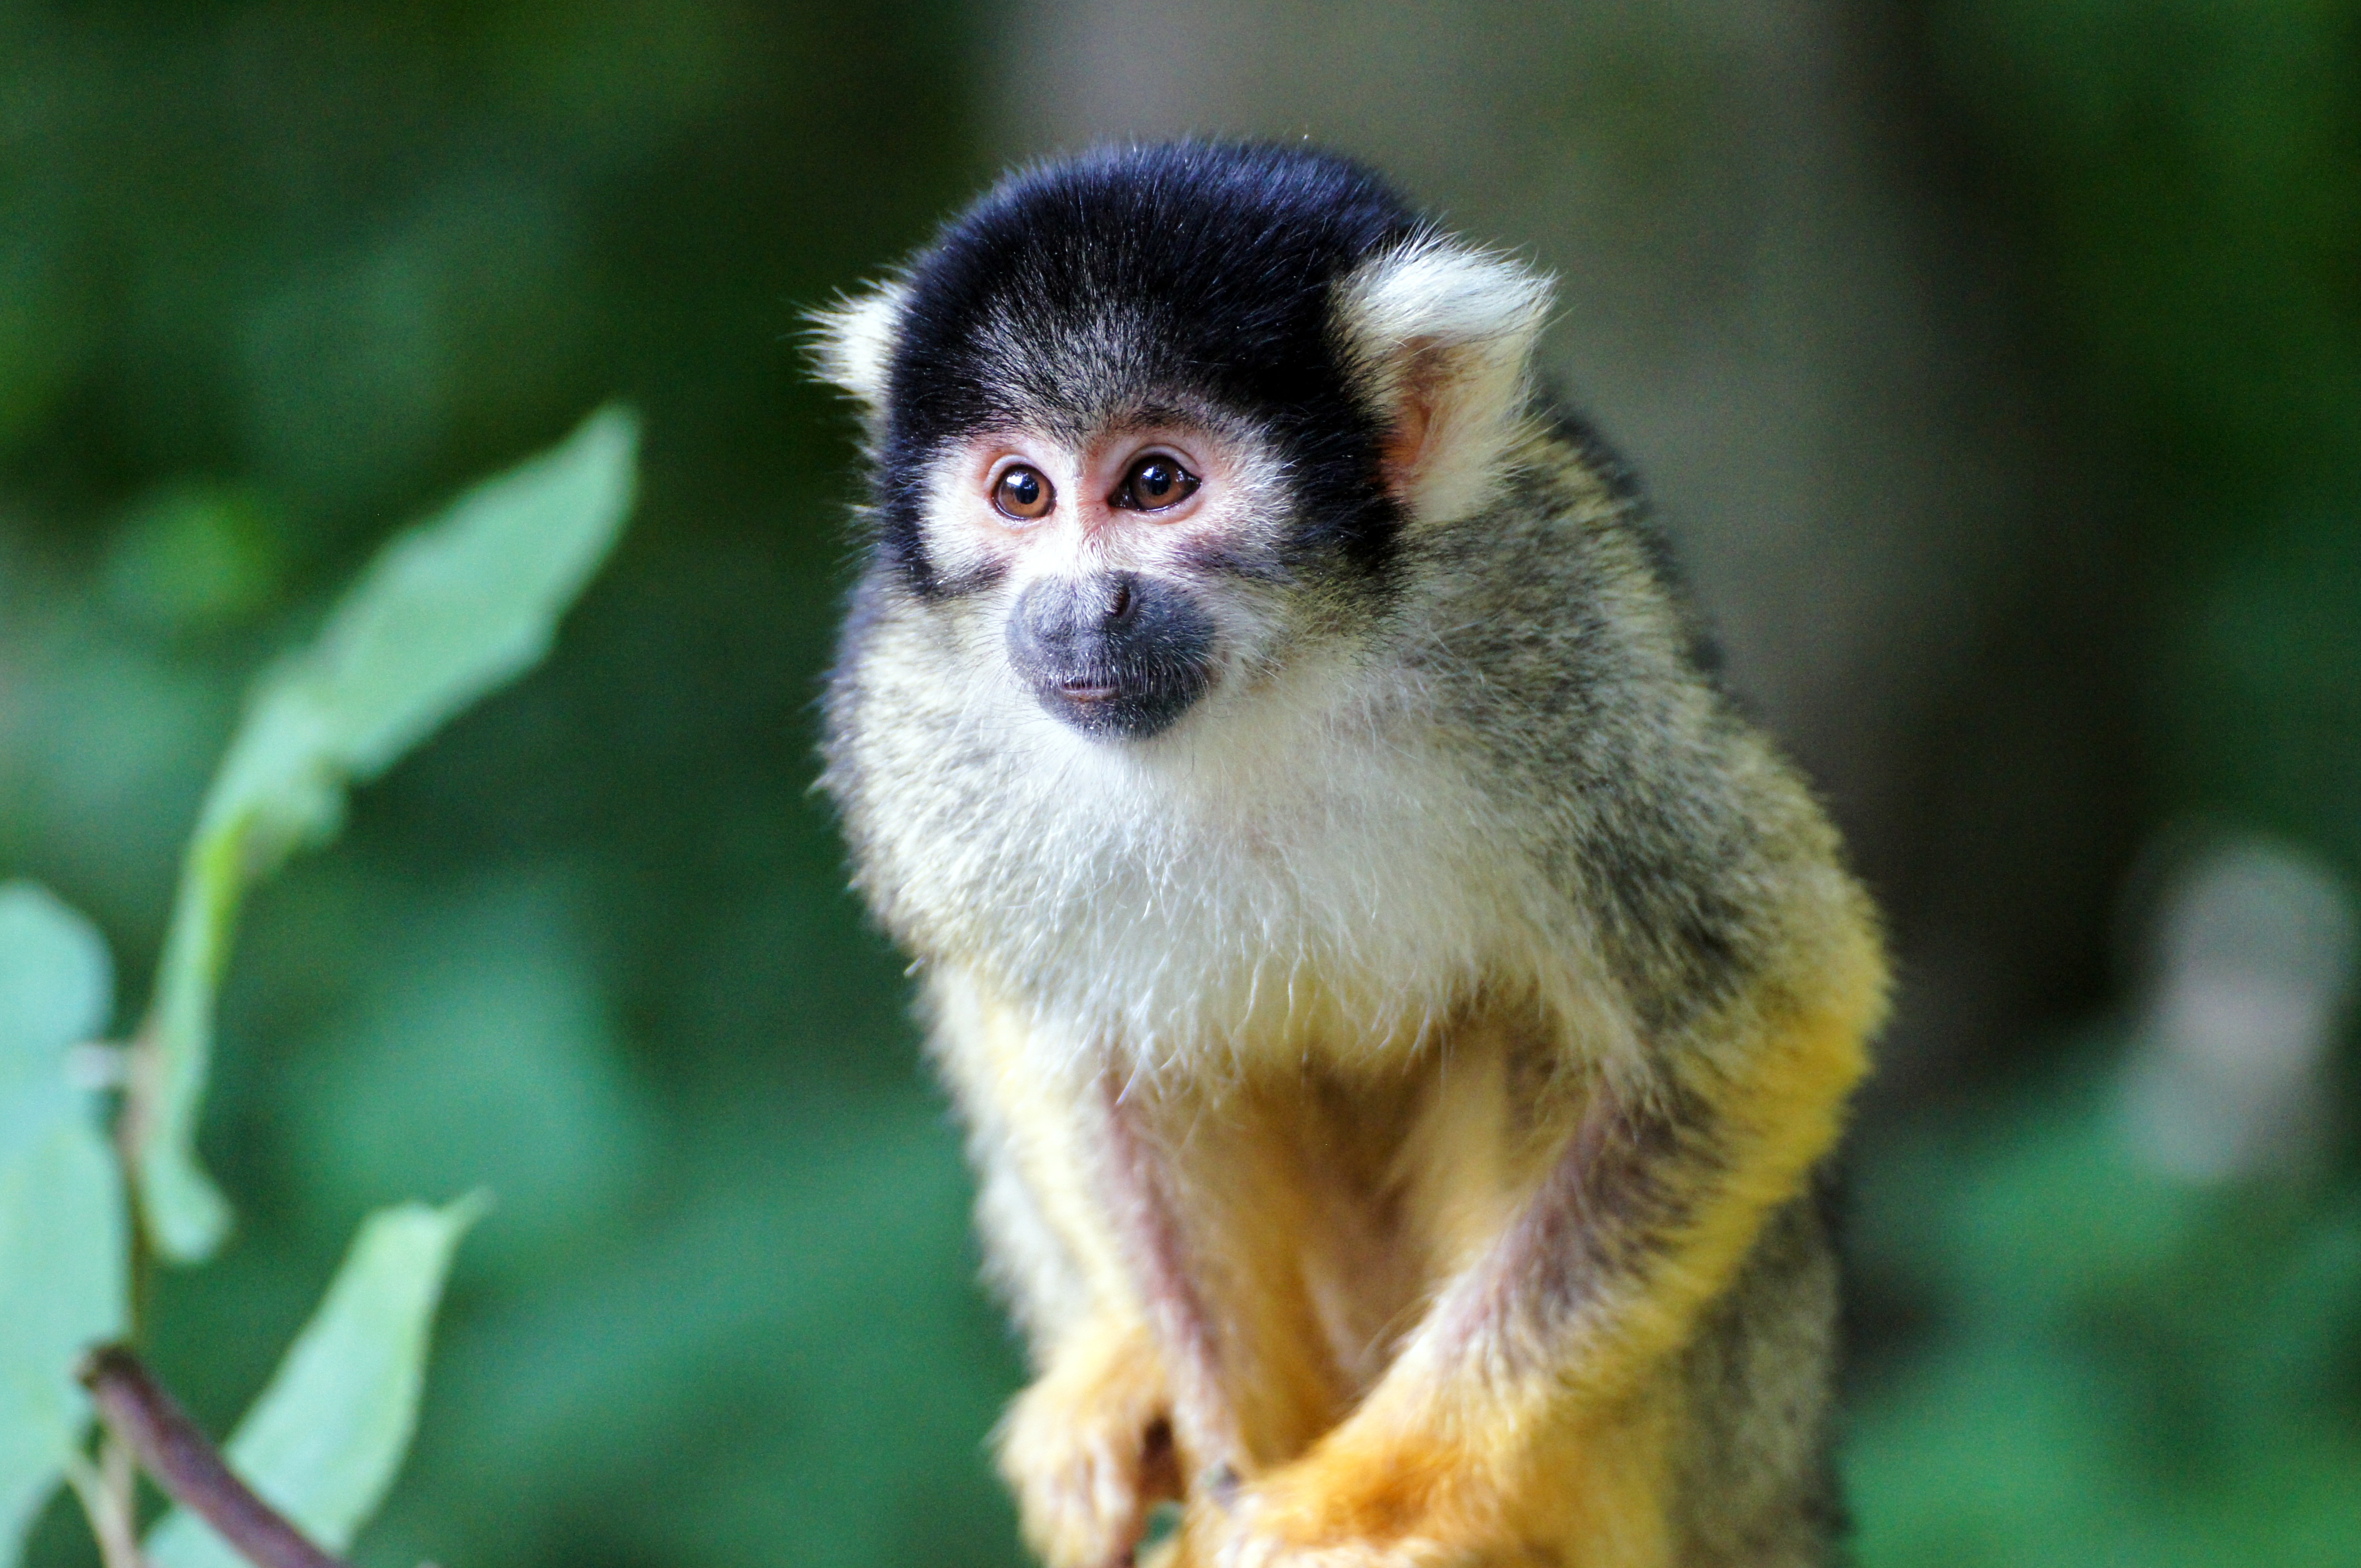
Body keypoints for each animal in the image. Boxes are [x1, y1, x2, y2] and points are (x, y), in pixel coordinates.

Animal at [812, 141, 1879, 1558]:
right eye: (1020, 493)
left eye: (1156, 483)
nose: (1078, 606)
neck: (1261, 685)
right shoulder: (907, 711)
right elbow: (1097, 1059)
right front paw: (1225, 1478)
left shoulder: (1552, 636)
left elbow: (1761, 1011)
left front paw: (1362, 1499)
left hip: (1749, 1426)